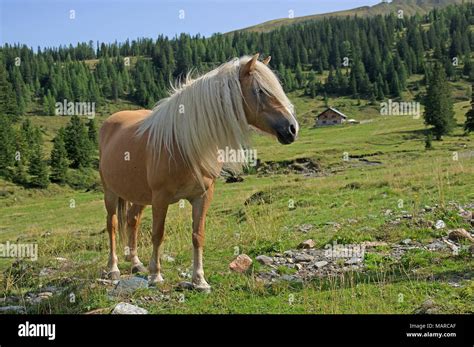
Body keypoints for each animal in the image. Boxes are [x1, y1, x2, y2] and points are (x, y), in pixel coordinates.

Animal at [99, 53, 300, 294]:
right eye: (260, 90)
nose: (292, 129)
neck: (182, 142)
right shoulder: (160, 198)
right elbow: (158, 234)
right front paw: (156, 275)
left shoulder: (202, 196)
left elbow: (198, 235)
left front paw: (199, 280)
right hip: (111, 193)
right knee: (112, 225)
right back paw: (113, 268)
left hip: (139, 195)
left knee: (132, 221)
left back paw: (136, 263)